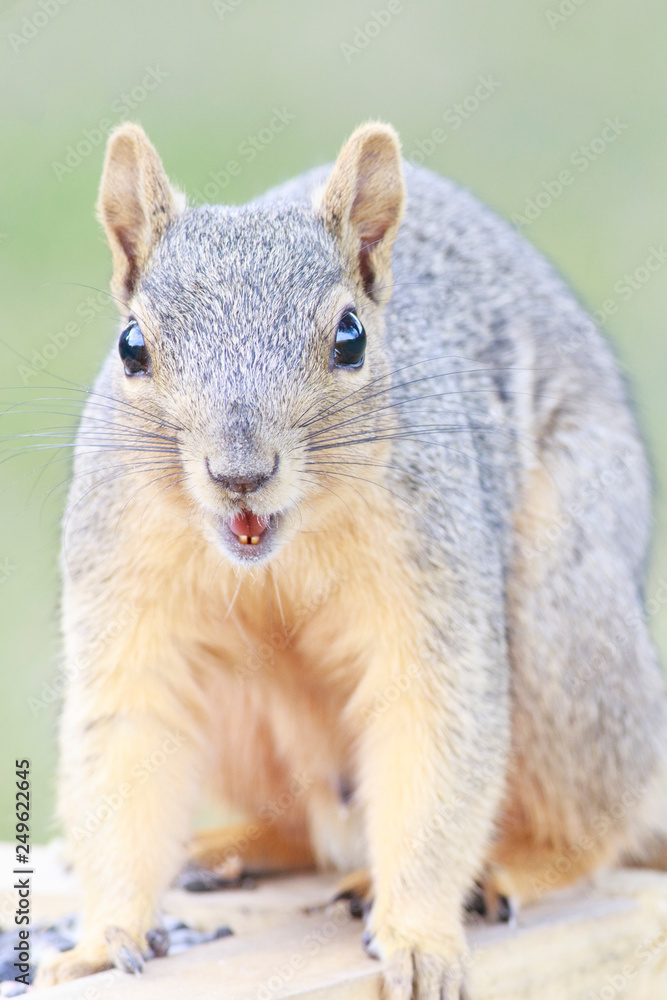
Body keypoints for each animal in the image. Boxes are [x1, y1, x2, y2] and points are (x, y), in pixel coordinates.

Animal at [36, 121, 667, 999]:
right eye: (132, 345)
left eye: (350, 338)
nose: (239, 473)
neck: (275, 551)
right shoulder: (126, 580)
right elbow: (129, 734)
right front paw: (103, 937)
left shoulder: (432, 564)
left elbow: (432, 728)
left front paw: (418, 937)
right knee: (306, 829)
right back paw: (227, 850)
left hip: (563, 629)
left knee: (596, 824)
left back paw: (505, 869)